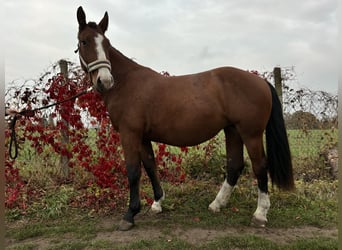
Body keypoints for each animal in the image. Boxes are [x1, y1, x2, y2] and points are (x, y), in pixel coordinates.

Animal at [75, 6, 294, 231]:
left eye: (107, 44)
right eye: (84, 41)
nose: (105, 81)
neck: (127, 83)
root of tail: (260, 81)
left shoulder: (130, 134)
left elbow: (133, 171)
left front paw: (130, 214)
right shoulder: (142, 136)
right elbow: (150, 166)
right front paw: (157, 203)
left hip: (251, 133)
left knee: (260, 166)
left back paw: (260, 214)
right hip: (233, 130)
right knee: (235, 165)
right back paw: (217, 204)